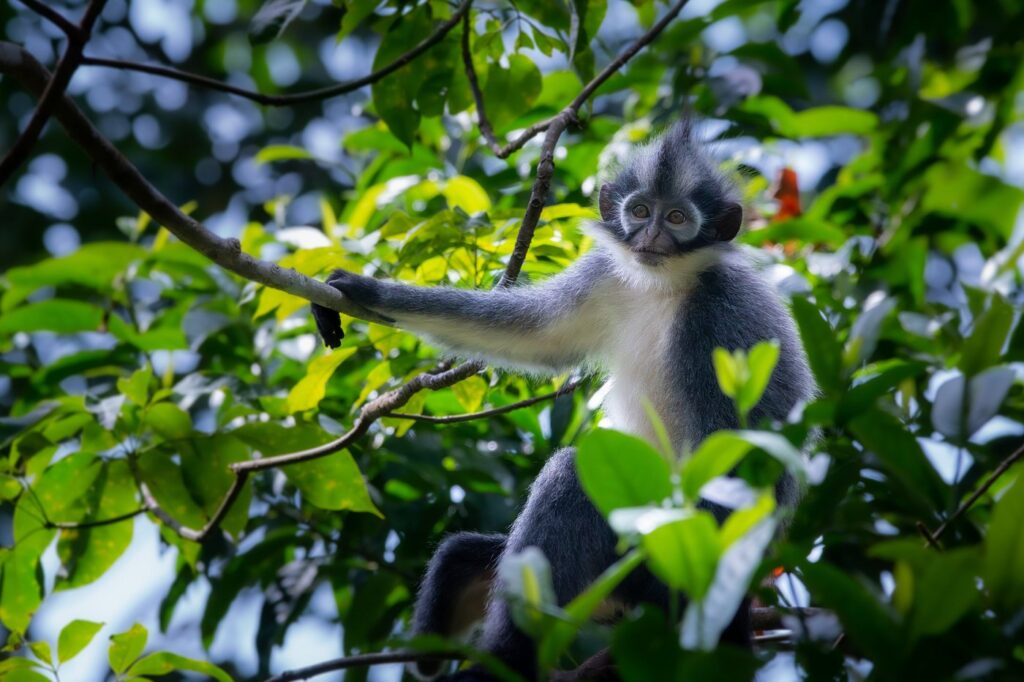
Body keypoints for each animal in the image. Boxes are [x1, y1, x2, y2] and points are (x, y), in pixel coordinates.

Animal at [311, 120, 815, 680]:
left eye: (679, 218)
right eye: (641, 211)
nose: (651, 237)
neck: (663, 284)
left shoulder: (724, 318)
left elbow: (736, 460)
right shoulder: (606, 275)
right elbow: (534, 334)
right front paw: (360, 290)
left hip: (650, 568)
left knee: (571, 473)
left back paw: (507, 659)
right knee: (462, 554)